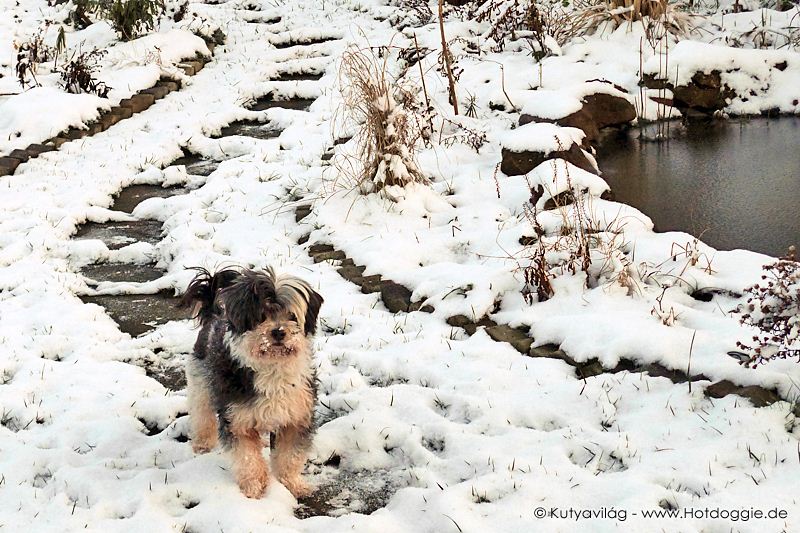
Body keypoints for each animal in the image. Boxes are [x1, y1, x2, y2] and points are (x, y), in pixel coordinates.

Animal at [180, 266, 322, 498]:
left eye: (291, 315)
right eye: (261, 316)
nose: (278, 331)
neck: (272, 368)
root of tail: (214, 313)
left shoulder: (296, 418)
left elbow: (289, 457)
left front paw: (293, 484)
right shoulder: (237, 421)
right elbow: (248, 459)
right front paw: (254, 489)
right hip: (200, 383)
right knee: (202, 415)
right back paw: (202, 443)